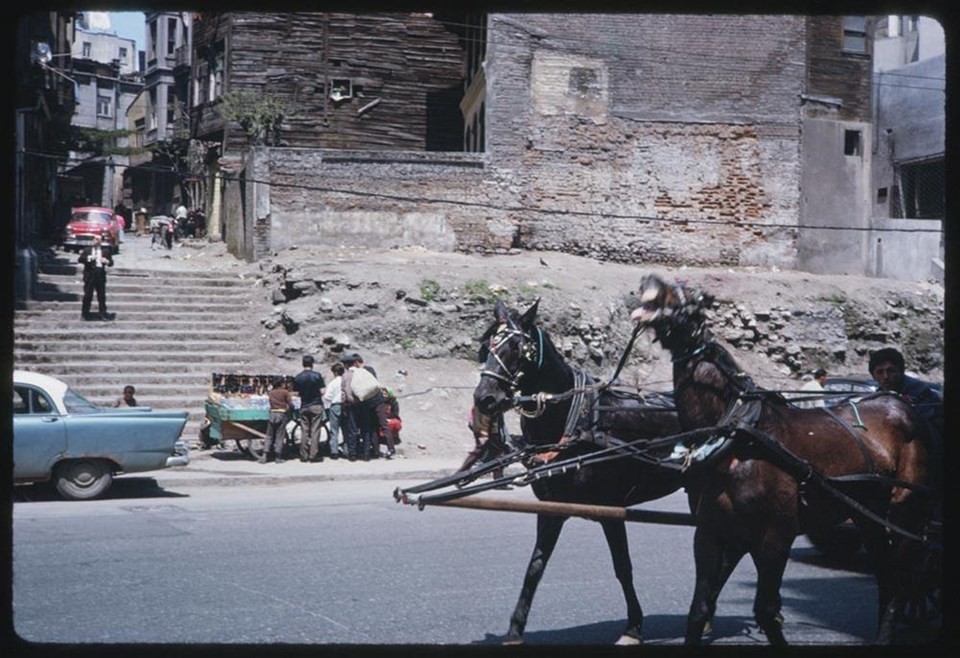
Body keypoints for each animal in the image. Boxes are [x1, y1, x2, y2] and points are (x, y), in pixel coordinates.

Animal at [472, 300, 684, 644]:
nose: (485, 398)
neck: (574, 419)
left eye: (517, 348)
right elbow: (535, 567)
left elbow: (622, 566)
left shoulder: (611, 508)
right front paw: (515, 629)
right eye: (485, 347)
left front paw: (633, 627)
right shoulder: (552, 508)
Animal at [628, 274, 932, 644]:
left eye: (688, 296)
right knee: (886, 573)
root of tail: (903, 405)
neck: (737, 436)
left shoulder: (776, 533)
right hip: (868, 514)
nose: (649, 279)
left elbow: (767, 611)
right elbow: (699, 608)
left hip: (906, 510)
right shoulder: (710, 531)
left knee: (903, 576)